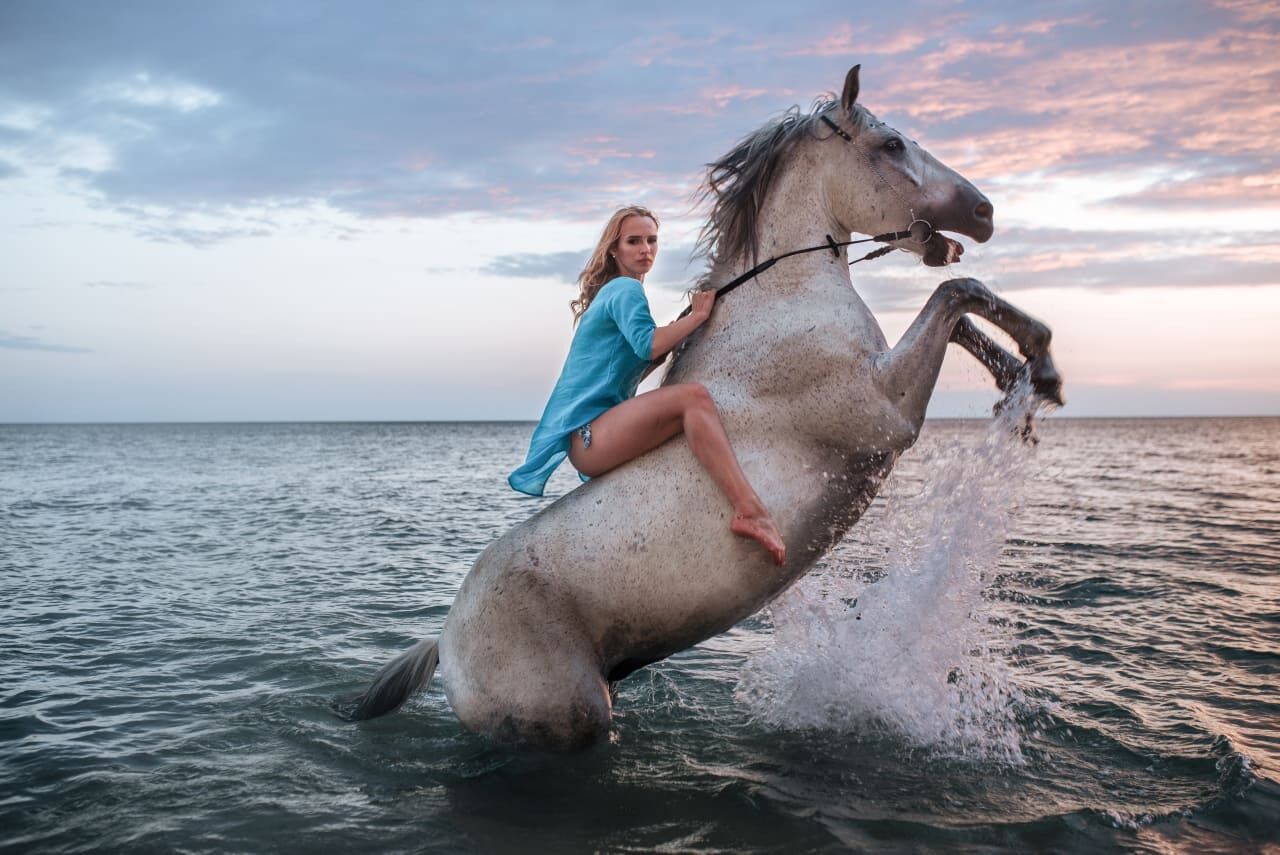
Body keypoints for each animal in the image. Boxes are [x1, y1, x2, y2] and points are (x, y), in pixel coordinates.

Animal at [340, 65, 1059, 747]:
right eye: (892, 145)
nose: (985, 211)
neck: (781, 297)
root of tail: (443, 646)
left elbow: (963, 309)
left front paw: (1029, 387)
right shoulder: (887, 412)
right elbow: (956, 291)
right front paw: (1042, 364)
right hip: (569, 718)